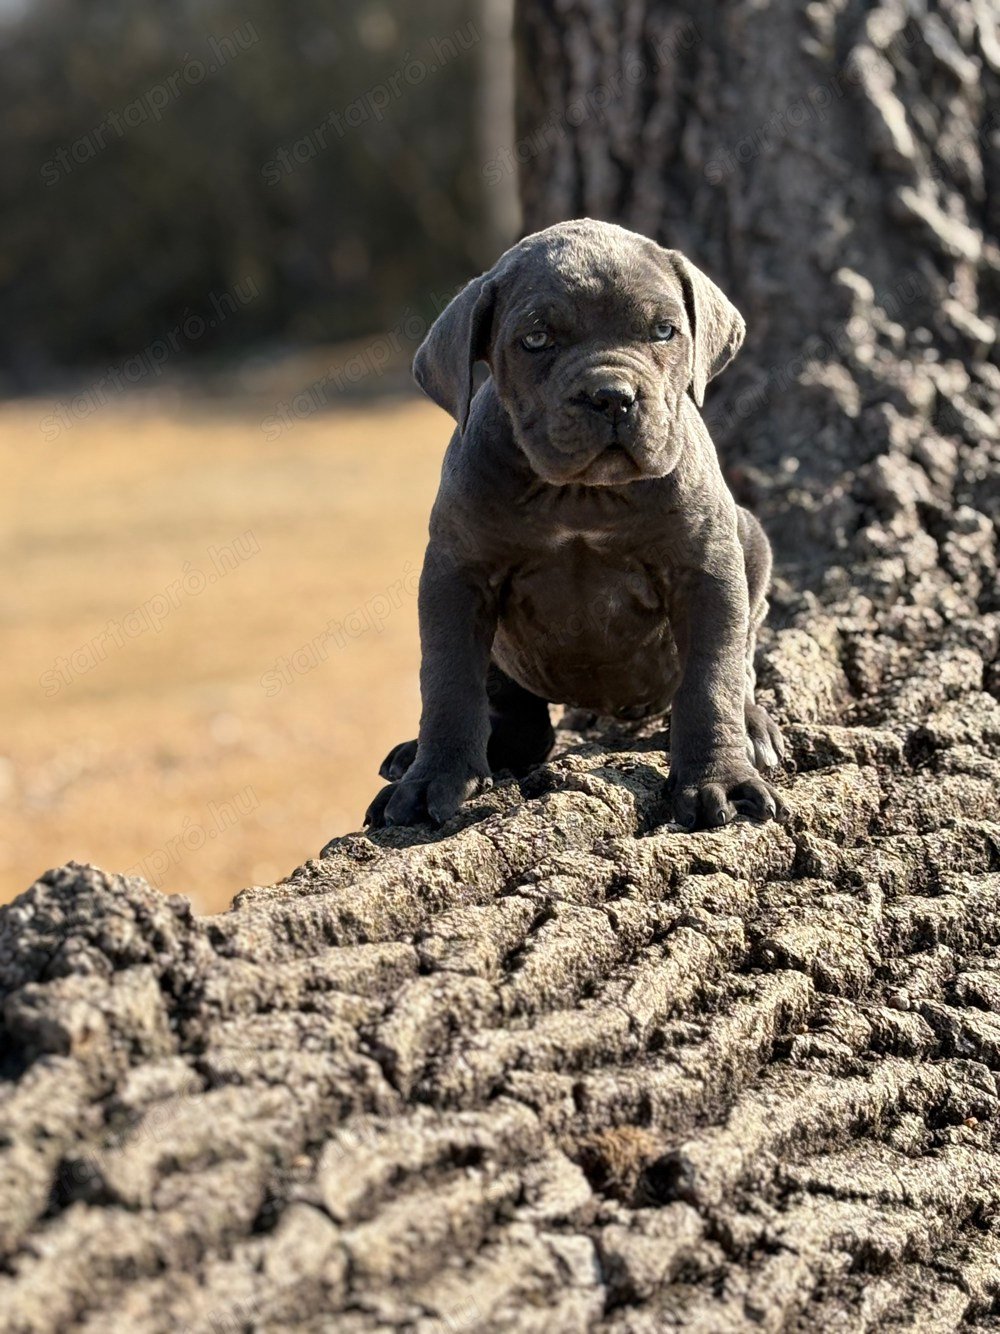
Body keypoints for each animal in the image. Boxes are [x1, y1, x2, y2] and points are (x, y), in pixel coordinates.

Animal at [365, 216, 789, 832]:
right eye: (537, 339)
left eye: (664, 331)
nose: (611, 396)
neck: (582, 497)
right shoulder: (456, 577)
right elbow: (448, 683)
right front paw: (432, 780)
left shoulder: (707, 572)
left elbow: (712, 680)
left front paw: (721, 779)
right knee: (517, 718)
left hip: (751, 539)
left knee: (742, 659)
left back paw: (753, 724)